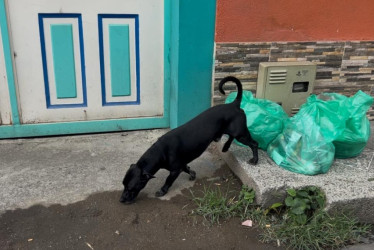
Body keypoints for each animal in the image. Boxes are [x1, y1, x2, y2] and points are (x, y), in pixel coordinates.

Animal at [121, 75, 258, 203]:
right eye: (123, 184)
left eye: (130, 188)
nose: (121, 200)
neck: (160, 151)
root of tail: (234, 104)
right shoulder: (181, 165)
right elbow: (187, 169)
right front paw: (192, 174)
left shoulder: (175, 170)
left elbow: (168, 180)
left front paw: (162, 190)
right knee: (231, 137)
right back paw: (225, 147)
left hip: (241, 135)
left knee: (254, 144)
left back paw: (255, 160)